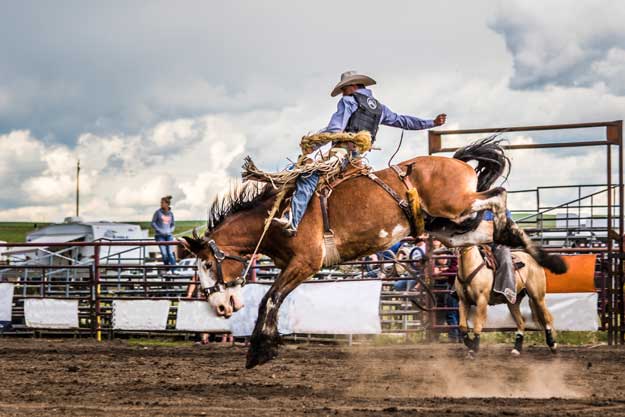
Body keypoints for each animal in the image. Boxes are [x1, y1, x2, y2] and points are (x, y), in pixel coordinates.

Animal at [179, 137, 564, 368]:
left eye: (207, 264)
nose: (219, 307)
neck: (277, 216)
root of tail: (457, 162)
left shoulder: (306, 262)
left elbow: (270, 298)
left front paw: (260, 351)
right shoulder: (295, 266)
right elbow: (274, 299)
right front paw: (266, 346)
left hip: (457, 207)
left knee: (498, 195)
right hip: (449, 227)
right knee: (494, 228)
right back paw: (548, 257)